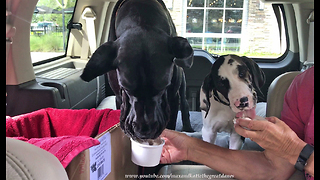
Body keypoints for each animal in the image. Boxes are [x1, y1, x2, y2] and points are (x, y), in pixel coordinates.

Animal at [81, 0, 194, 141]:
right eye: (126, 88)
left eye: (163, 88)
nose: (144, 132)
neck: (141, 19)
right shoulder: (119, 97)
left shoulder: (173, 98)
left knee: (184, 103)